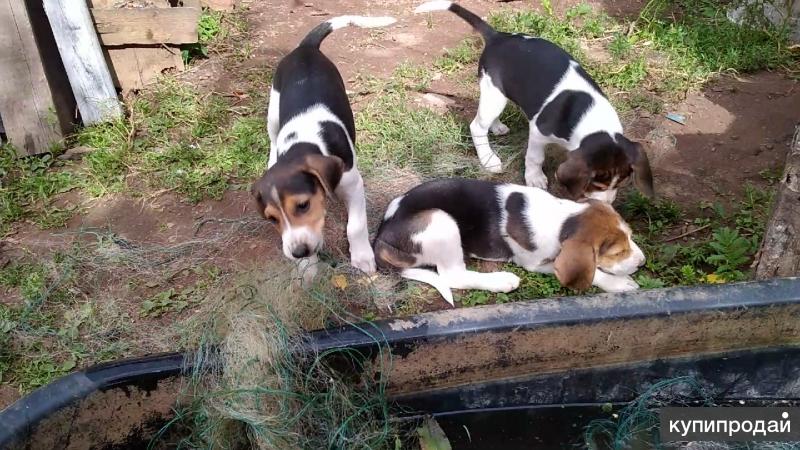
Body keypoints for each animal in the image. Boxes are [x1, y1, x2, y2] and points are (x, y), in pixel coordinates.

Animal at [252, 14, 396, 278]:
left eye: (303, 205)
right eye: (272, 219)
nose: (298, 252)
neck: (302, 142)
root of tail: (305, 48)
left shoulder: (353, 184)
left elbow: (355, 226)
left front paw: (362, 257)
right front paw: (307, 268)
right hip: (273, 109)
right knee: (272, 137)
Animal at [376, 178, 644, 306]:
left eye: (631, 237)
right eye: (617, 252)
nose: (642, 262)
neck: (562, 218)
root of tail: (381, 237)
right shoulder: (535, 264)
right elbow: (594, 272)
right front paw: (618, 283)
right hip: (439, 220)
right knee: (454, 276)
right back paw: (501, 281)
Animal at [416, 0, 652, 203]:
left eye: (620, 184)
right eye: (598, 184)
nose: (607, 204)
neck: (593, 121)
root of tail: (497, 37)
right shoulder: (539, 131)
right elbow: (535, 157)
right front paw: (535, 178)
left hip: (498, 94)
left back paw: (497, 127)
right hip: (494, 95)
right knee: (477, 126)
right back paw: (488, 158)